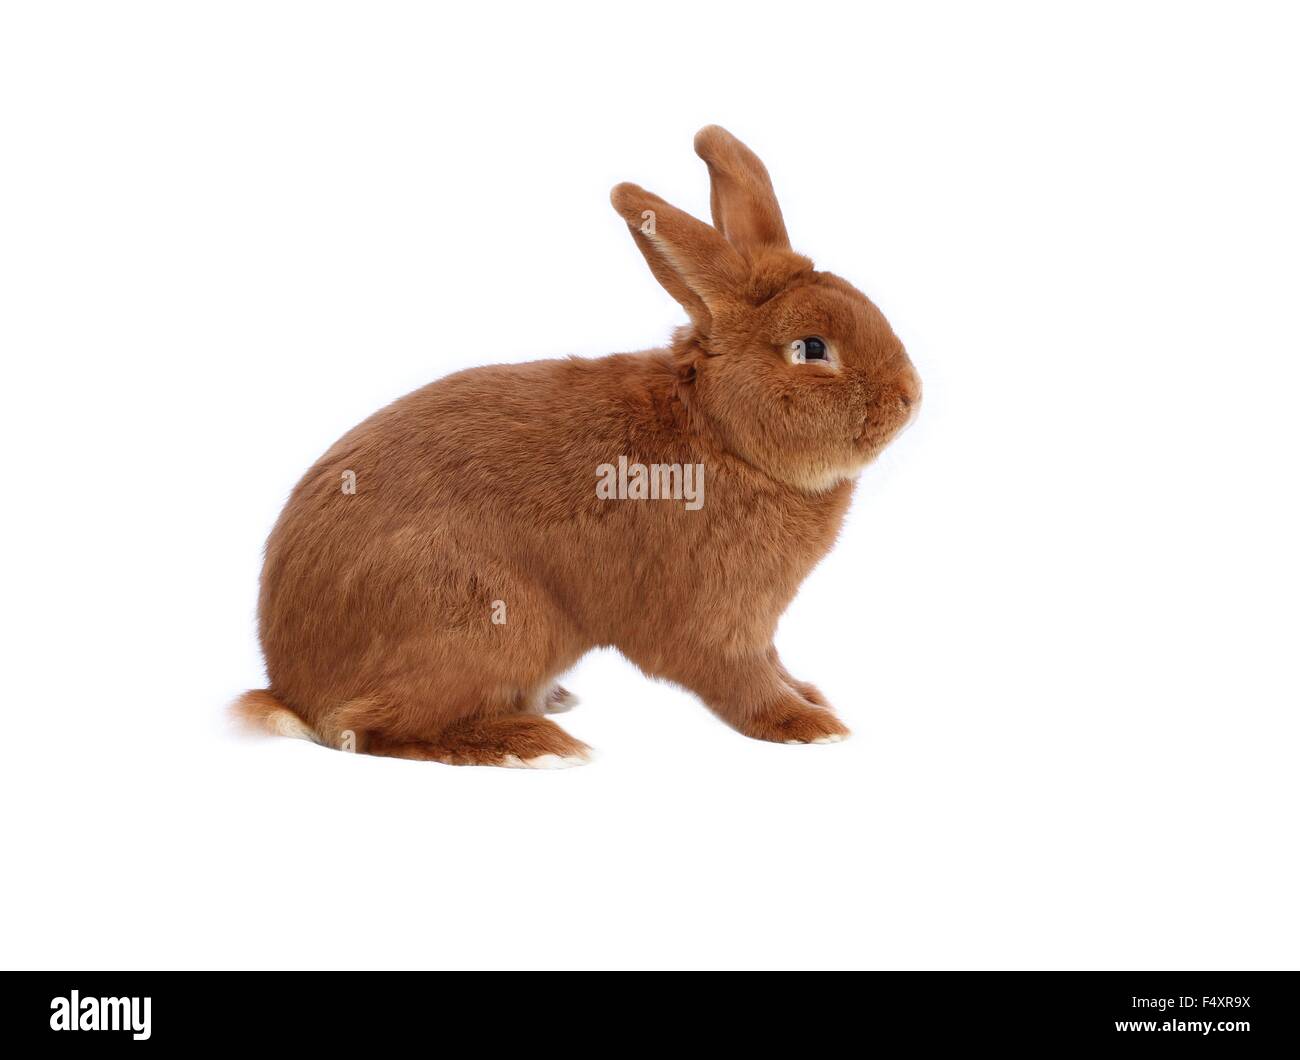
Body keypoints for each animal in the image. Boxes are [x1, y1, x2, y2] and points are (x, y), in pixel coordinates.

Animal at [234, 125, 921, 767]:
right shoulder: (713, 620)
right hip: (482, 616)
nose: (911, 396)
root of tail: (293, 690)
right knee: (371, 726)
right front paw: (807, 725)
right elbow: (740, 678)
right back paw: (531, 745)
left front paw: (811, 696)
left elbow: (773, 663)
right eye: (811, 348)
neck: (722, 434)